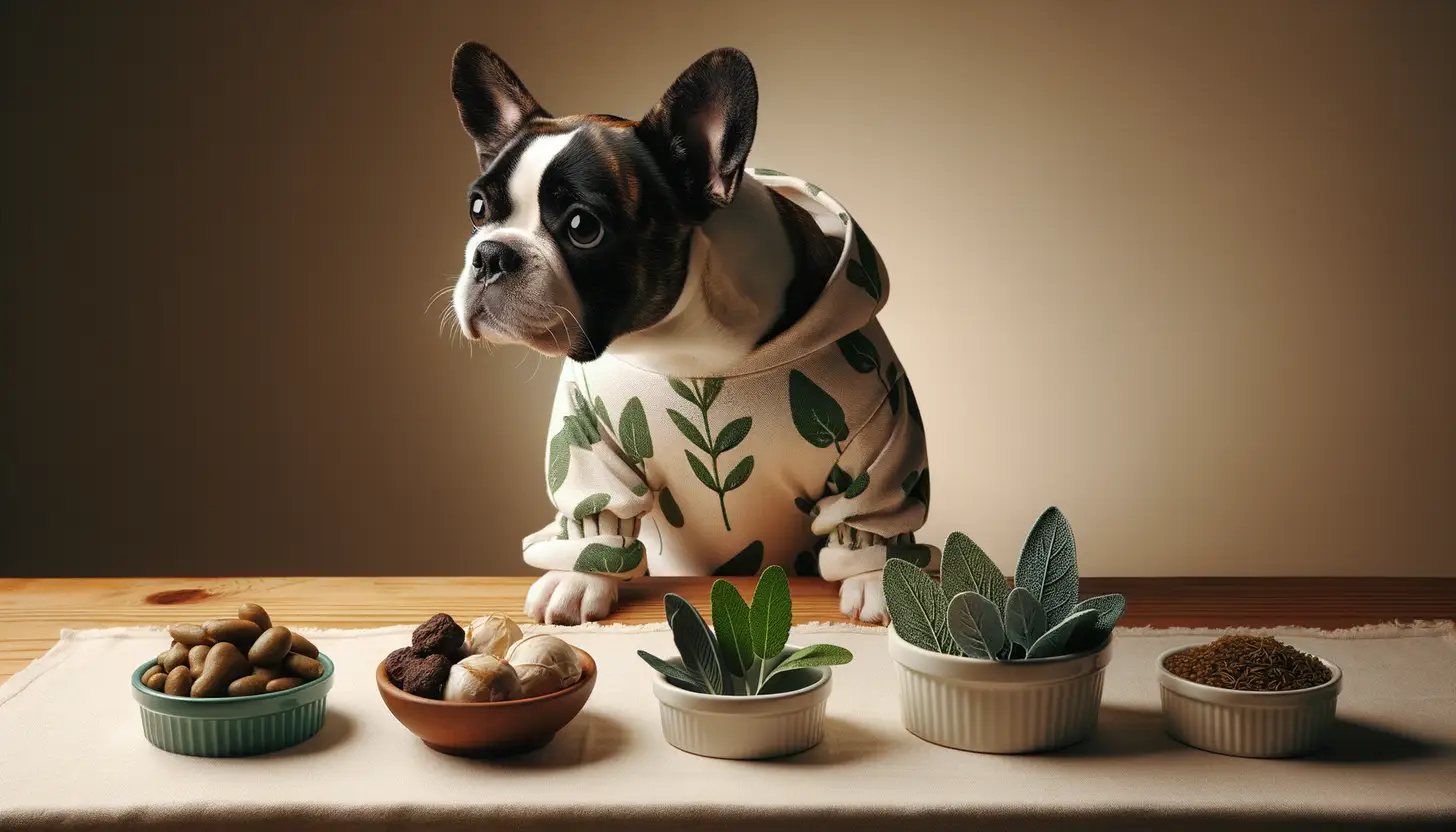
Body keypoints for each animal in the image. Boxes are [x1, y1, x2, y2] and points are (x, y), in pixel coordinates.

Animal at [448, 42, 937, 620]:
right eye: (478, 208)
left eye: (583, 227)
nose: (491, 254)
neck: (690, 351)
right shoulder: (586, 438)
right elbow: (597, 512)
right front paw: (578, 578)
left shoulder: (882, 445)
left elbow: (870, 519)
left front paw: (880, 582)